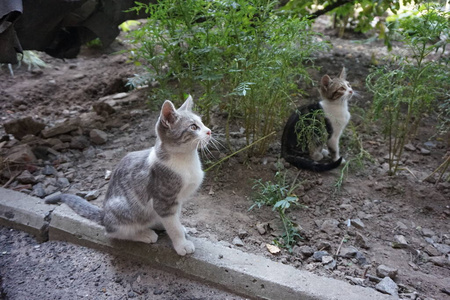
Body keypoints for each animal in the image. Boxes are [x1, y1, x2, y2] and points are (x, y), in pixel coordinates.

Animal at [46, 95, 212, 255]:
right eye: (193, 127)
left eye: (202, 123)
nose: (209, 131)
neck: (186, 161)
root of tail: (104, 215)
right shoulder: (164, 199)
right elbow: (173, 225)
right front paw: (181, 244)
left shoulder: (177, 200)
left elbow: (175, 217)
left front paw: (179, 228)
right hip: (123, 208)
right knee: (113, 232)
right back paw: (143, 234)